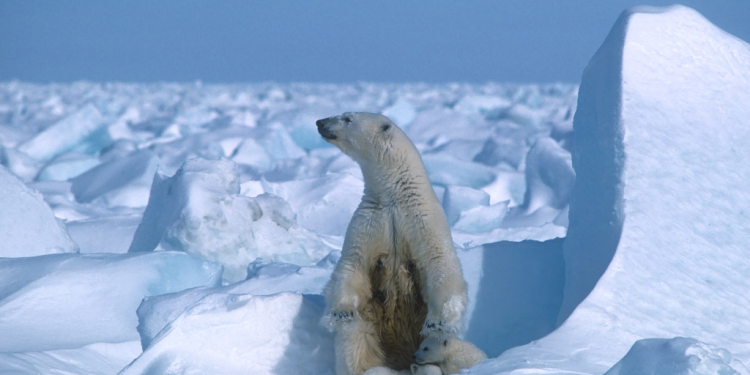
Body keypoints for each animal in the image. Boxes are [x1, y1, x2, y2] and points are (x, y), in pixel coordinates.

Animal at [318, 112, 470, 375]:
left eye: (347, 118)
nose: (320, 122)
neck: (394, 196)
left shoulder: (423, 220)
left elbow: (440, 262)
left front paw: (438, 321)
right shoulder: (368, 221)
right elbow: (352, 264)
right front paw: (342, 312)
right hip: (371, 323)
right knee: (355, 342)